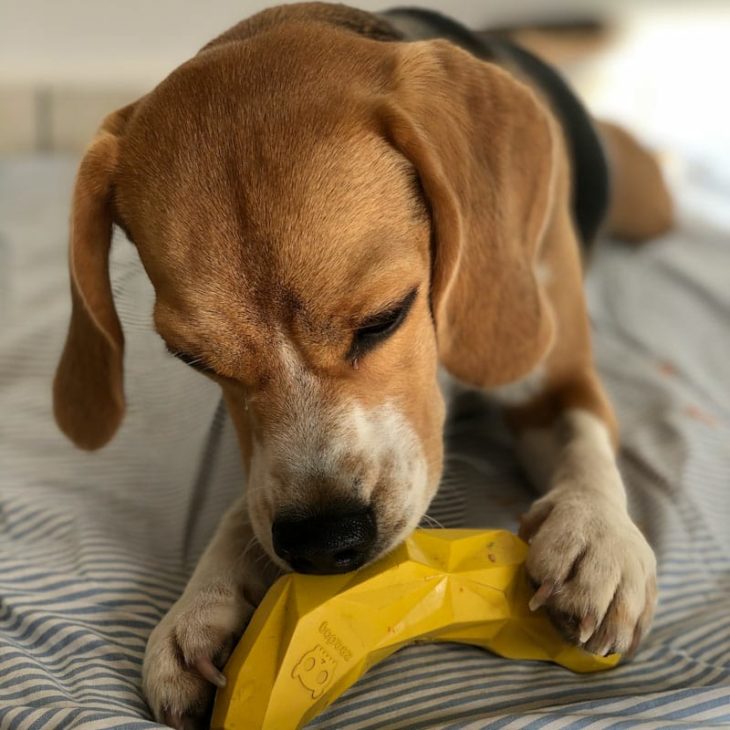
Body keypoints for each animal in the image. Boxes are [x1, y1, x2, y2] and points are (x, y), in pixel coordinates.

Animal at [52, 4, 672, 724]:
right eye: (193, 358)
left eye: (385, 317)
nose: (324, 542)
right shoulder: (264, 474)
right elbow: (245, 507)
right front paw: (202, 605)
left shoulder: (558, 379)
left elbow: (584, 439)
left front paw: (598, 534)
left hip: (646, 204)